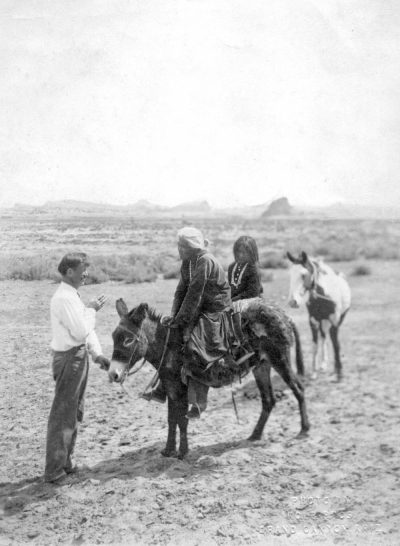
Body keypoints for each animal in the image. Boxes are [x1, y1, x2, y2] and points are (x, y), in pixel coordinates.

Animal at [107, 296, 310, 456]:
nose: (113, 375)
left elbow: (182, 421)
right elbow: (172, 420)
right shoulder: (172, 389)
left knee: (298, 389)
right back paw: (255, 435)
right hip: (262, 366)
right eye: (114, 337)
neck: (169, 345)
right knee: (269, 400)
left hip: (280, 359)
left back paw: (304, 430)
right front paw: (168, 451)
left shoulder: (181, 390)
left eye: (128, 340)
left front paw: (182, 452)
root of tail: (283, 314)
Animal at [288, 250, 350, 380]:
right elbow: (315, 345)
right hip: (322, 321)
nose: (292, 302)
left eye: (303, 275)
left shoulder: (335, 321)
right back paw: (323, 364)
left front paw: (339, 373)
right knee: (323, 336)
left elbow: (336, 344)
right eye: (290, 274)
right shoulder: (313, 321)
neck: (324, 296)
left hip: (337, 319)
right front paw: (314, 372)